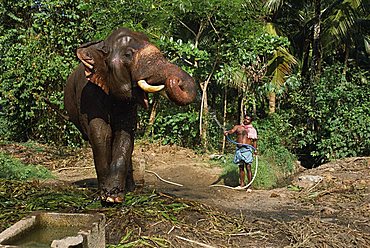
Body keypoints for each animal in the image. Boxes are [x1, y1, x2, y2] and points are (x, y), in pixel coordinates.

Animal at [64, 28, 197, 203]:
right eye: (128, 54)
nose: (176, 81)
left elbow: (124, 134)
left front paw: (114, 196)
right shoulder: (89, 95)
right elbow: (101, 133)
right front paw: (106, 196)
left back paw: (130, 189)